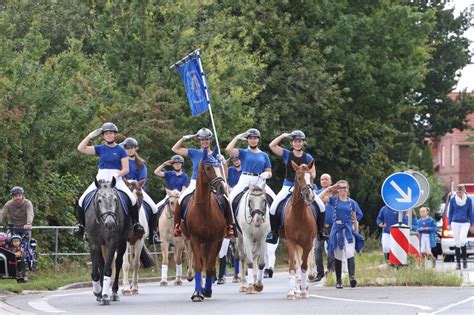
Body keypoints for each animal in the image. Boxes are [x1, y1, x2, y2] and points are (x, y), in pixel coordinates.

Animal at [180, 149, 228, 302]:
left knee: (209, 263)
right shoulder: (194, 239)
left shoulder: (214, 240)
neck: (203, 207)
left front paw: (206, 290)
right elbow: (198, 265)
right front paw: (197, 293)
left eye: (219, 166)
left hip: (215, 241)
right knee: (201, 261)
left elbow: (209, 266)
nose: (222, 187)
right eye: (208, 167)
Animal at [280, 162, 316, 300]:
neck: (299, 215)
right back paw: (296, 289)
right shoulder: (290, 242)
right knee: (295, 264)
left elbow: (304, 266)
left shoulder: (308, 243)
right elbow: (292, 266)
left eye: (311, 178)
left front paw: (304, 291)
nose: (310, 195)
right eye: (299, 178)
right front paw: (291, 292)